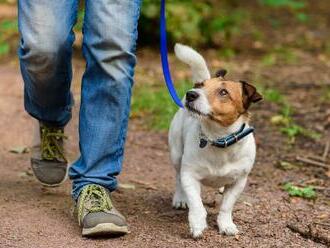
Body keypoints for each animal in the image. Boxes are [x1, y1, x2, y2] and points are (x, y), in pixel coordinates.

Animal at [169, 44, 262, 238]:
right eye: (201, 86)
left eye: (223, 92)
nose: (191, 94)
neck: (218, 139)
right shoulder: (190, 175)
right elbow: (196, 204)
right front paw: (197, 224)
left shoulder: (238, 182)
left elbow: (226, 206)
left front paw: (226, 224)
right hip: (176, 154)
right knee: (178, 177)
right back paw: (180, 198)